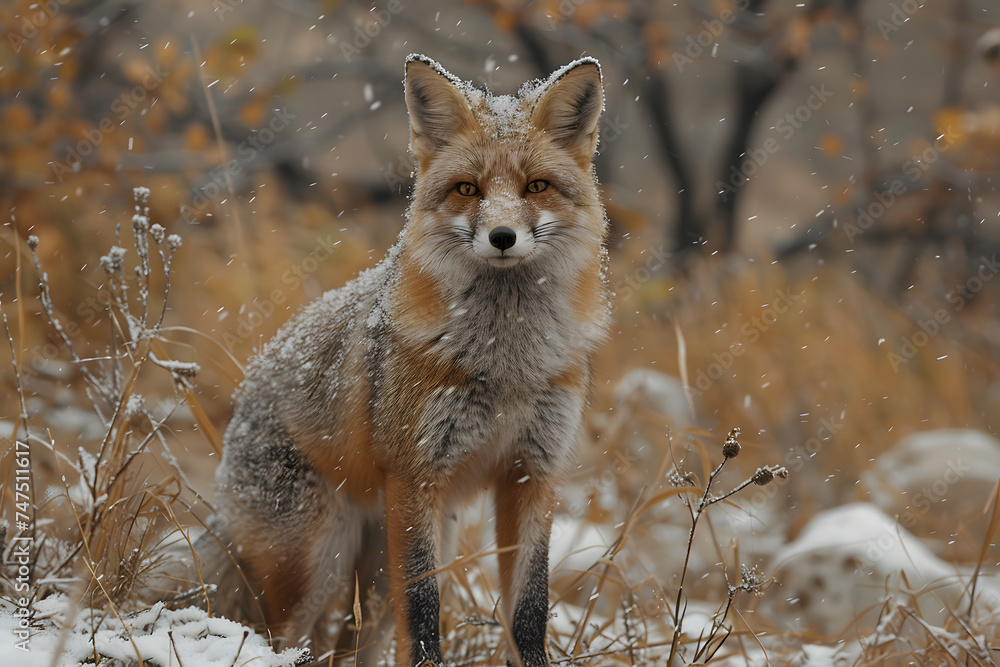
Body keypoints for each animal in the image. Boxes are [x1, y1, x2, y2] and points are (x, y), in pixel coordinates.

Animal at [201, 54, 610, 667]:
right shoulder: (418, 475)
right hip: (316, 565)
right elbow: (423, 611)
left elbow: (530, 609)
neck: (507, 366)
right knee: (281, 640)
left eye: (536, 186)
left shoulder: (531, 473)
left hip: (380, 570)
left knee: (350, 647)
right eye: (467, 188)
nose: (503, 236)